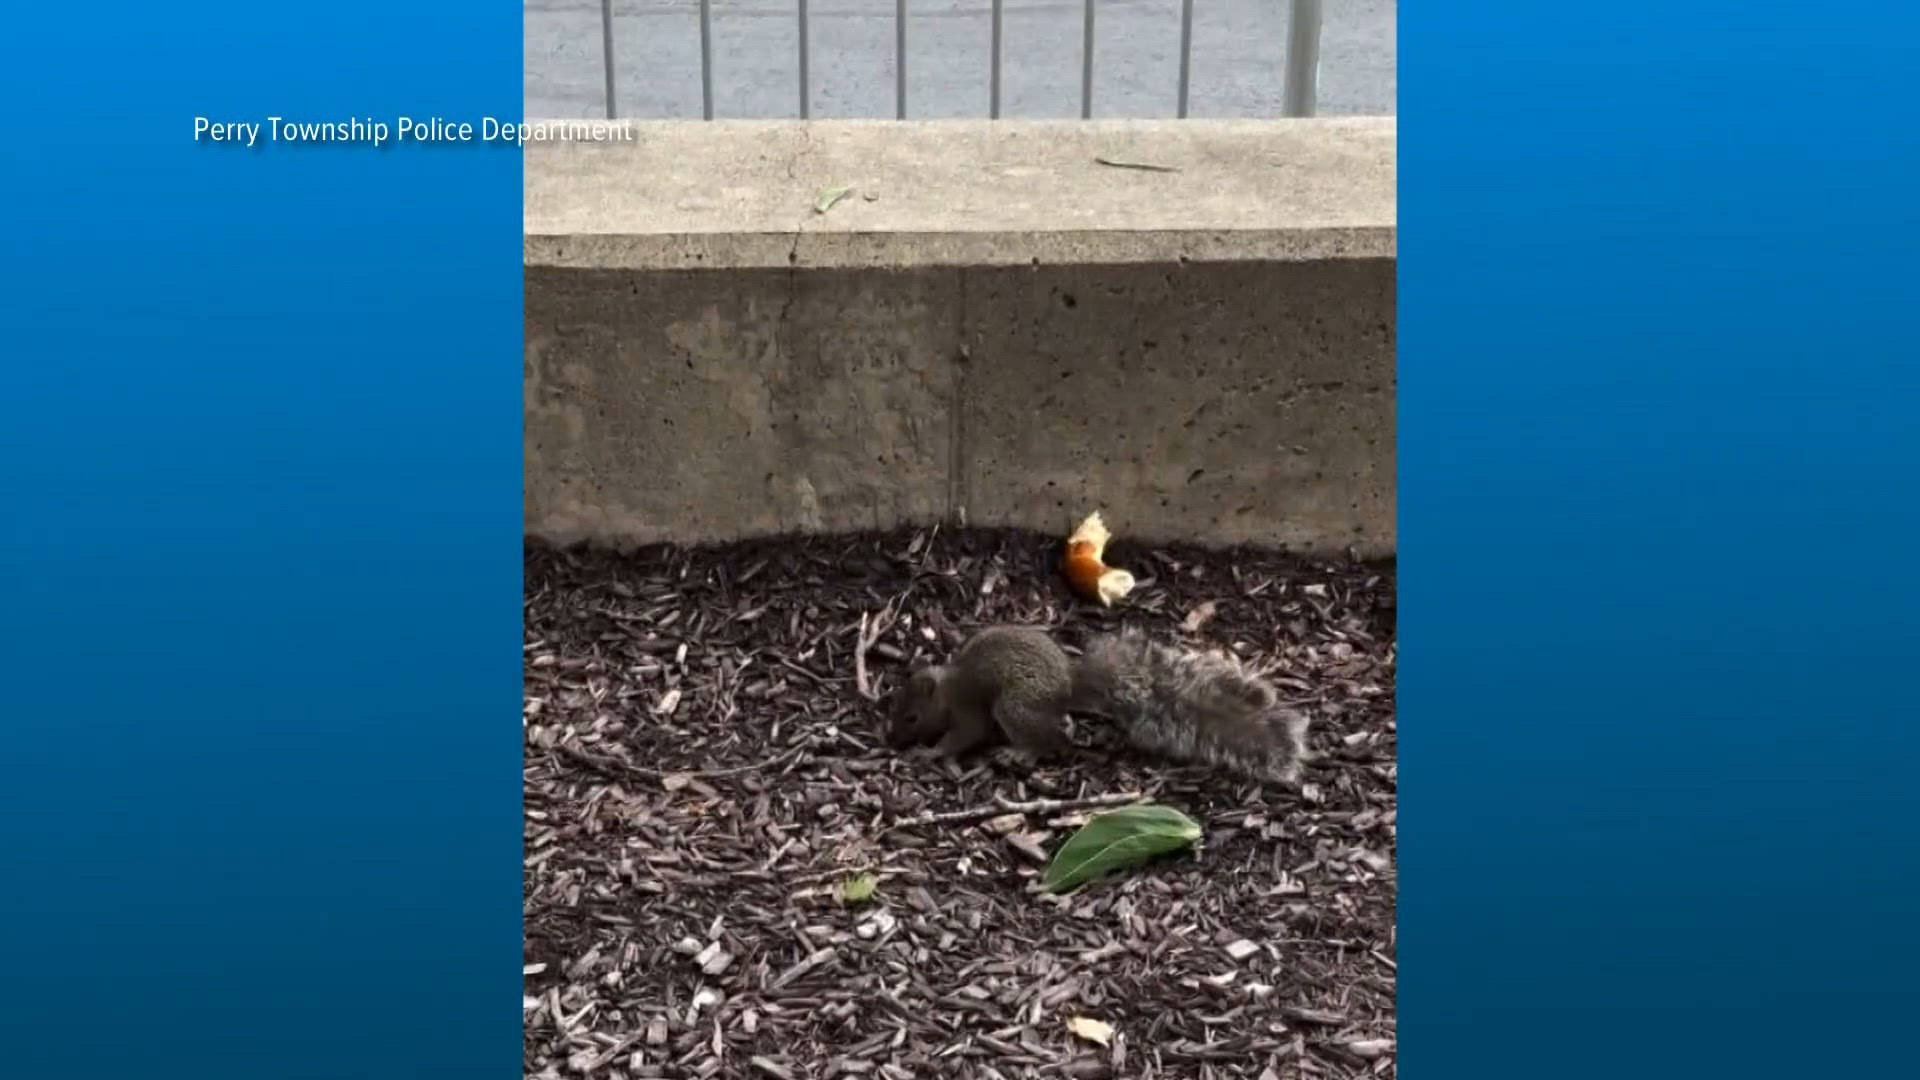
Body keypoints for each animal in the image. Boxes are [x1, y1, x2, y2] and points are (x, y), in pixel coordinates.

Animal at [886, 625, 1311, 784]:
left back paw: (1020, 754)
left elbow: (965, 735)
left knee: (1051, 740)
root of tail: (1067, 687)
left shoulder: (967, 709)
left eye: (912, 717)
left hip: (1015, 707)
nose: (889, 741)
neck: (946, 687)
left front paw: (928, 752)